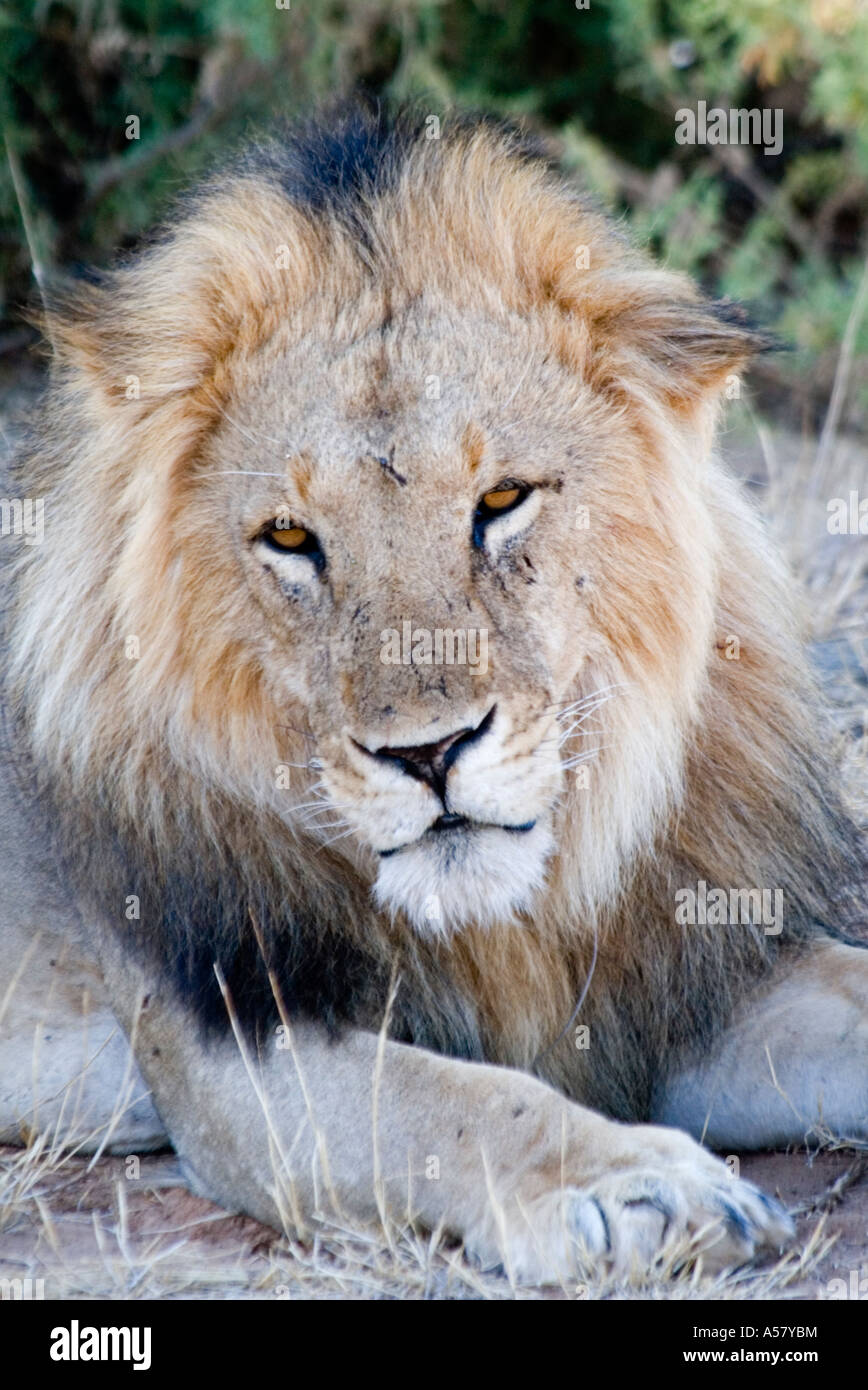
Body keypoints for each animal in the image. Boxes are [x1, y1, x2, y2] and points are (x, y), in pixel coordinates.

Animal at [1, 103, 866, 1285]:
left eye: (501, 500)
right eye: (290, 538)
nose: (427, 754)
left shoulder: (687, 985)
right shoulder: (233, 1040)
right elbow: (457, 1100)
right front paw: (637, 1186)